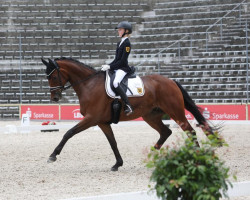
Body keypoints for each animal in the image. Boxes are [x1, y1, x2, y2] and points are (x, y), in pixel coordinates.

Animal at [41, 57, 217, 171]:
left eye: (54, 76)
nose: (54, 98)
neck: (88, 84)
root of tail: (171, 81)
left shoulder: (91, 119)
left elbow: (69, 133)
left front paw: (53, 155)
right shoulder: (101, 122)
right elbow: (112, 142)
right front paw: (117, 164)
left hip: (175, 112)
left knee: (190, 131)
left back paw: (198, 158)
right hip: (151, 116)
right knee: (166, 131)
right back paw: (151, 155)